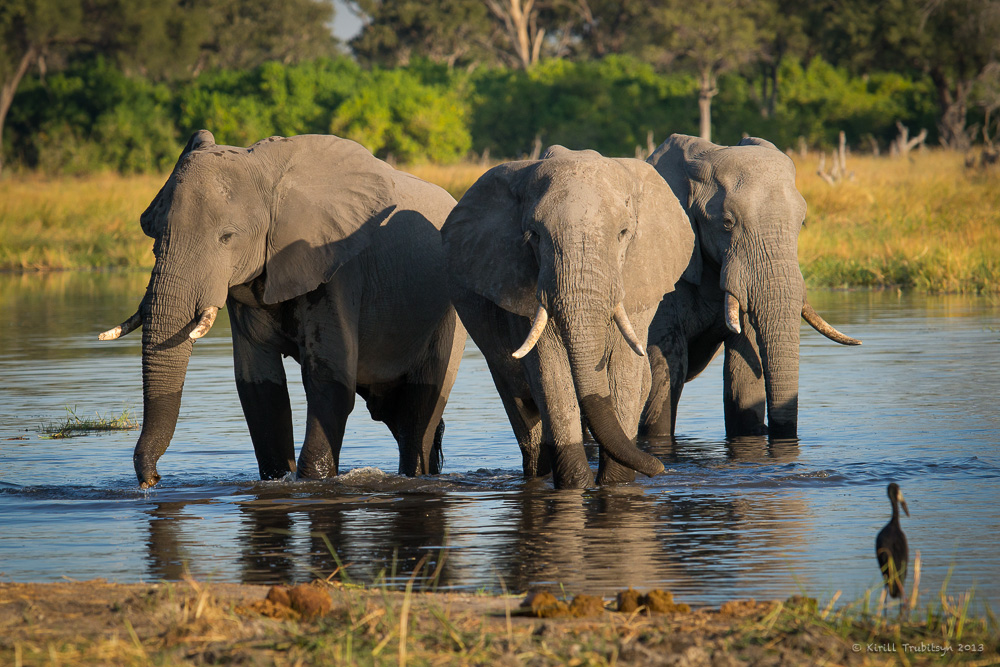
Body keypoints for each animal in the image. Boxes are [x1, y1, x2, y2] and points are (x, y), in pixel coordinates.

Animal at [99, 130, 466, 488]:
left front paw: (311, 482)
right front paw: (279, 480)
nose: (152, 480)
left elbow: (328, 382)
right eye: (153, 237)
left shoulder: (337, 265)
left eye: (227, 237)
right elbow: (259, 388)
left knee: (420, 410)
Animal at [444, 147, 696, 490]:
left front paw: (615, 484)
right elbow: (551, 373)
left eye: (623, 234)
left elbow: (624, 371)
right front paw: (578, 486)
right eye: (534, 236)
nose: (660, 468)